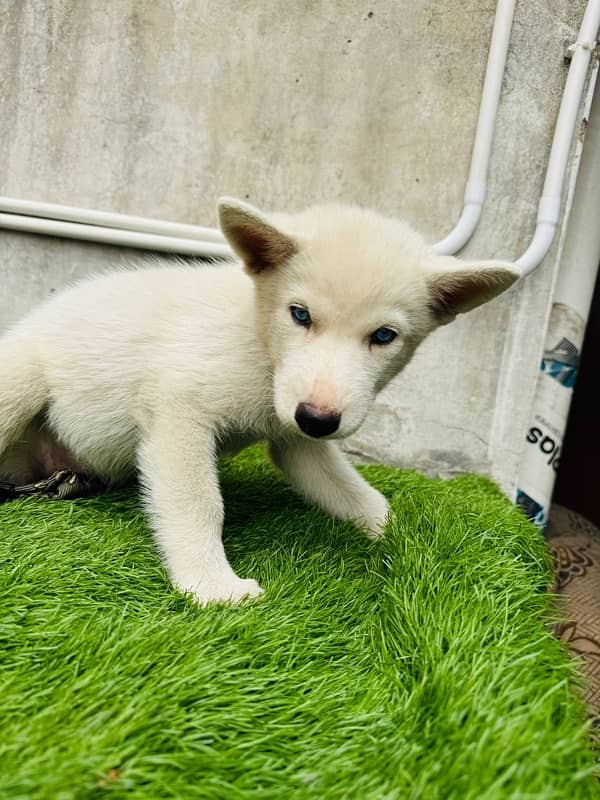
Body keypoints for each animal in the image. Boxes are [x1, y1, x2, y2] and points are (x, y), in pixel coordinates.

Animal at [0, 198, 516, 600]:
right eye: (300, 314)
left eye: (384, 336)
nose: (317, 418)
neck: (260, 344)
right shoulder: (177, 411)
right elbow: (199, 502)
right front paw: (212, 585)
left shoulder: (299, 438)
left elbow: (357, 494)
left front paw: (407, 532)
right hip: (20, 377)